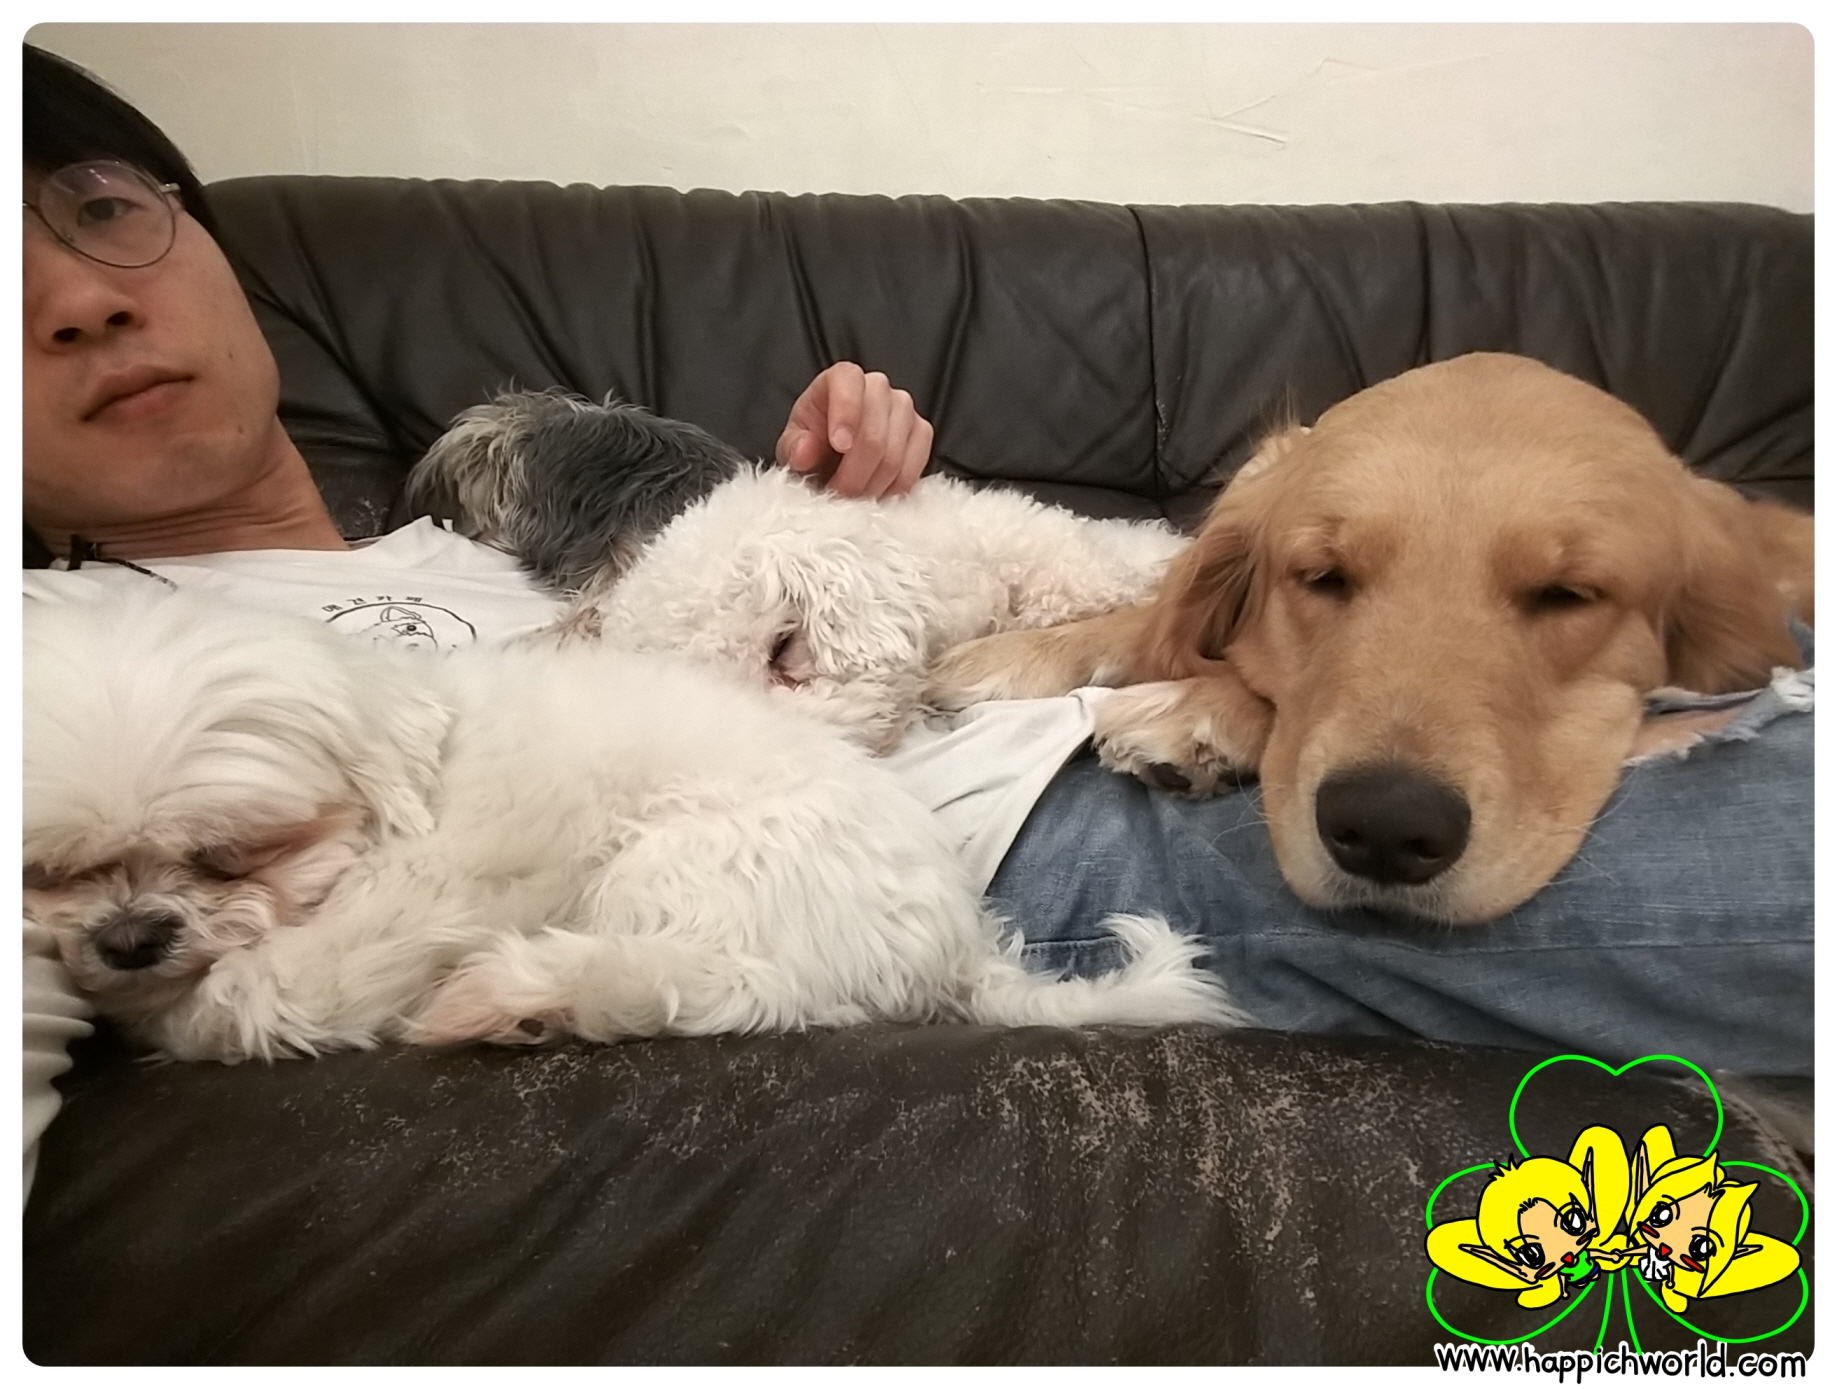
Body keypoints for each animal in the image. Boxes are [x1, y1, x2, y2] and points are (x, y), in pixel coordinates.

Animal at [22, 588, 1242, 1062]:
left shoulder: (420, 895)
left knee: (723, 988)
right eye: (46, 871)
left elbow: (264, 990)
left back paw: (510, 998)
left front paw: (191, 1002)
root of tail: (950, 945)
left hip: (690, 858)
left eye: (230, 855)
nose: (131, 938)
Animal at [927, 353, 1814, 926]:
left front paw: (1198, 715)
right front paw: (1013, 659)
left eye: (1568, 596)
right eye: (1322, 575)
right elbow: (1148, 623)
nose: (1387, 829)